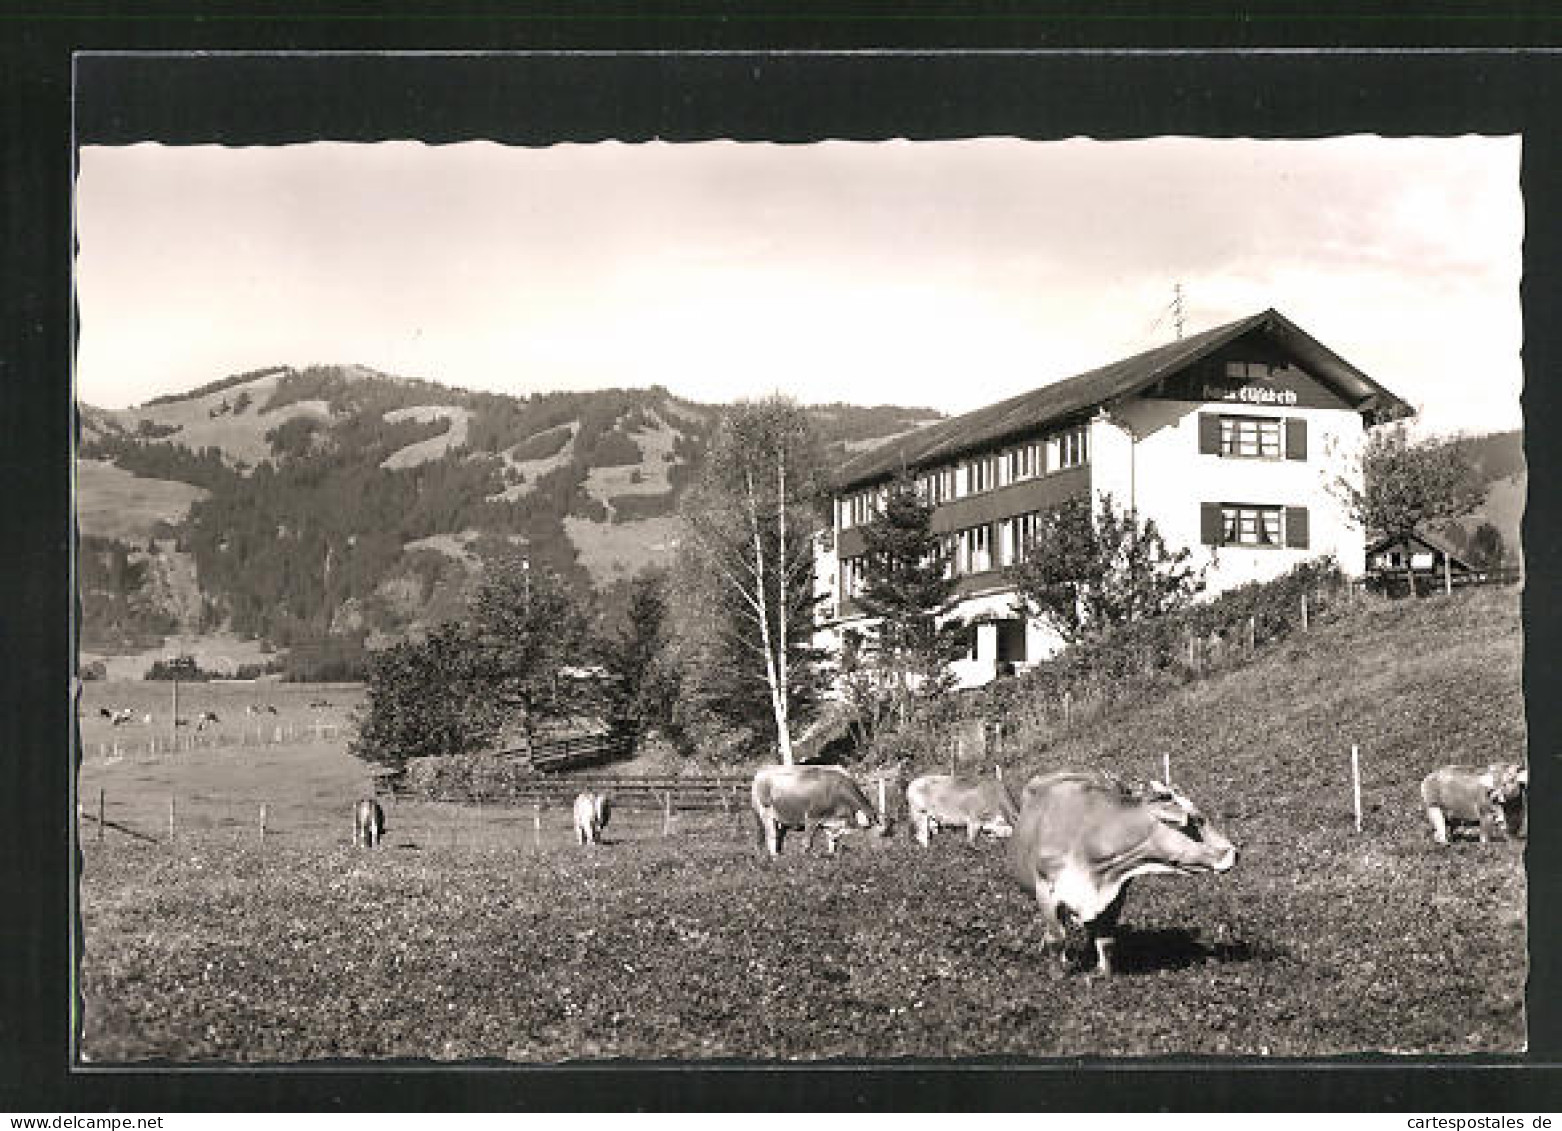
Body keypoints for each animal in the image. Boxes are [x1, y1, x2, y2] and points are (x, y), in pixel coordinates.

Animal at [752, 759, 899, 856]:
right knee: (771, 835)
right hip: (766, 812)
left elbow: (833, 841)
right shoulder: (811, 817)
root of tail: (762, 771)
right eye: (879, 834)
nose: (887, 851)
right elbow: (807, 843)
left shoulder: (831, 821)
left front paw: (831, 857)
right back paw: (775, 858)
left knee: (779, 835)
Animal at [1005, 771, 1237, 974]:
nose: (1235, 852)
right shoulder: (1047, 891)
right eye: (1198, 819)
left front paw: (1104, 974)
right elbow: (1057, 939)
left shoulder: (1116, 892)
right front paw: (1057, 974)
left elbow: (1106, 940)